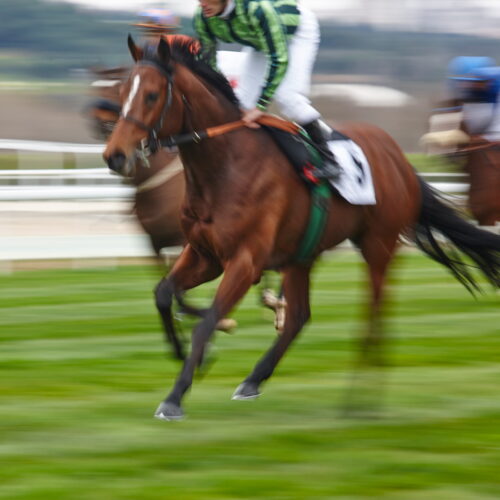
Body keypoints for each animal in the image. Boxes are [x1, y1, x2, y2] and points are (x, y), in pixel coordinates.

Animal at [103, 37, 498, 420]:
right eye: (122, 93)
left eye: (152, 95)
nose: (114, 155)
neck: (226, 166)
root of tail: (399, 159)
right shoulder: (205, 254)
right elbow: (163, 294)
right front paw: (182, 350)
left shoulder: (246, 260)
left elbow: (209, 319)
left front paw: (175, 396)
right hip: (301, 255)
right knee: (298, 317)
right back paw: (253, 380)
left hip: (378, 245)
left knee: (374, 316)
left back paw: (360, 399)